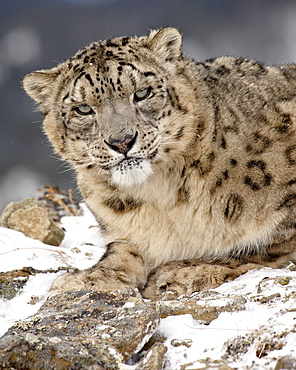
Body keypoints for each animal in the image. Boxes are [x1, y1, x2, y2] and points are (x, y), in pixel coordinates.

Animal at [23, 26, 296, 298]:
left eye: (143, 93)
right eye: (83, 109)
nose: (121, 141)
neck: (162, 197)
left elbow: (261, 246)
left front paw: (184, 272)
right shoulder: (126, 234)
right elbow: (120, 252)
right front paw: (87, 278)